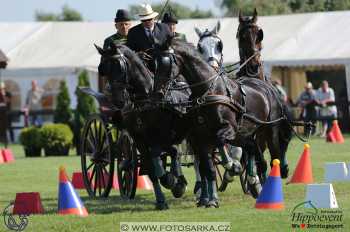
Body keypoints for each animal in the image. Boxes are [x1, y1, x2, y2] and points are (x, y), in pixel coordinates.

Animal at [95, 43, 189, 210]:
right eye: (102, 69)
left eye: (119, 66)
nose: (118, 101)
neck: (144, 100)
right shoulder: (139, 138)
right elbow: (152, 167)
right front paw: (161, 198)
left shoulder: (163, 135)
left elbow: (172, 152)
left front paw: (175, 182)